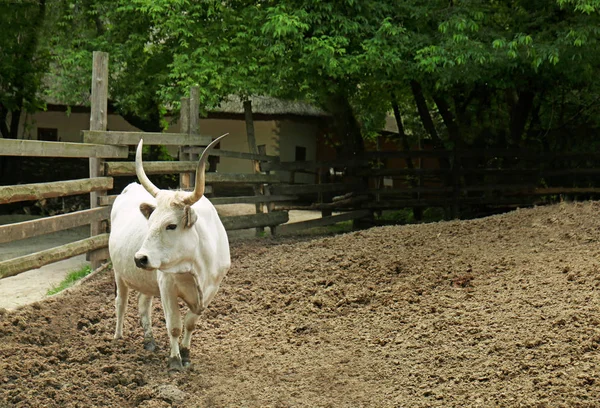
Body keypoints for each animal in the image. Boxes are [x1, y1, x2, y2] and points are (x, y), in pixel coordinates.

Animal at [108, 136, 230, 370]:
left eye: (171, 226)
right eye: (150, 223)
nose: (139, 258)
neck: (195, 267)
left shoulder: (211, 290)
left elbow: (190, 323)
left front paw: (186, 353)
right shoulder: (167, 286)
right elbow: (174, 325)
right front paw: (174, 361)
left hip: (146, 278)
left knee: (143, 305)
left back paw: (149, 341)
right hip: (119, 273)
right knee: (121, 303)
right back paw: (118, 337)